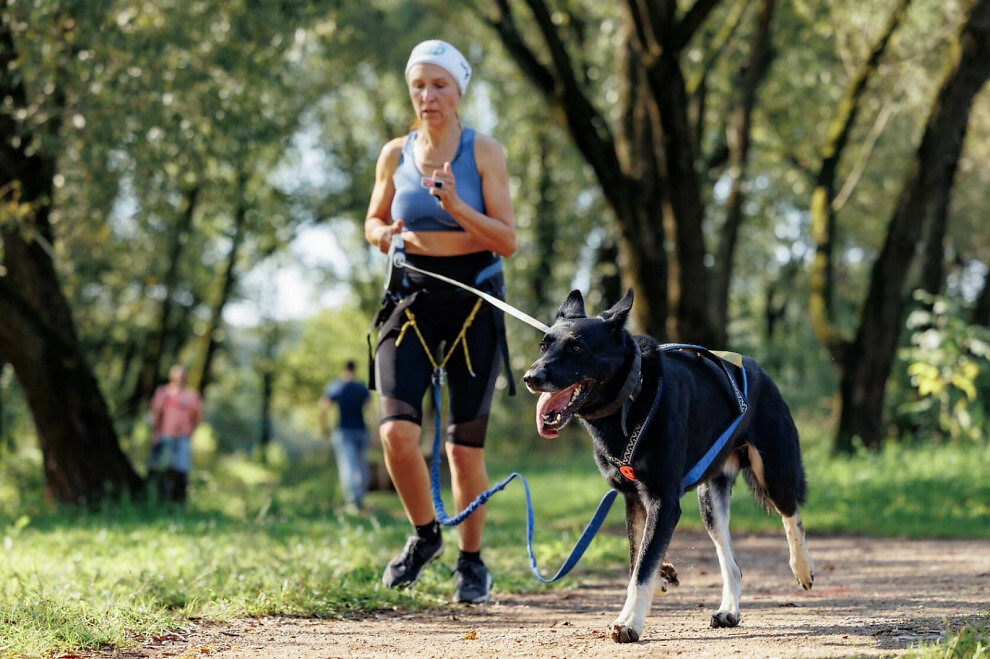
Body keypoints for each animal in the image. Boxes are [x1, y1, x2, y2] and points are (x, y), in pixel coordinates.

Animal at [524, 290, 816, 644]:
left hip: (774, 471)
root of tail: (757, 367)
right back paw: (729, 611)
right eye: (543, 345)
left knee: (791, 514)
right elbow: (638, 556)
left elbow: (642, 567)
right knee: (732, 564)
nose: (531, 378)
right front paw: (662, 576)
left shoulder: (663, 501)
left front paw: (629, 622)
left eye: (576, 348)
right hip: (711, 503)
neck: (632, 397)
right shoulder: (634, 500)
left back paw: (802, 567)